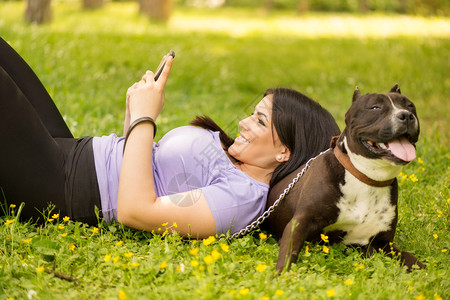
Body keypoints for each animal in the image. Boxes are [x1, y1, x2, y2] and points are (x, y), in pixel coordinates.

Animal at [262, 84, 424, 272]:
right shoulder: (300, 222)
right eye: (375, 107)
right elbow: (288, 253)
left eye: (410, 106)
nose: (406, 115)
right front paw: (280, 276)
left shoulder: (381, 243)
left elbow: (410, 258)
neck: (366, 177)